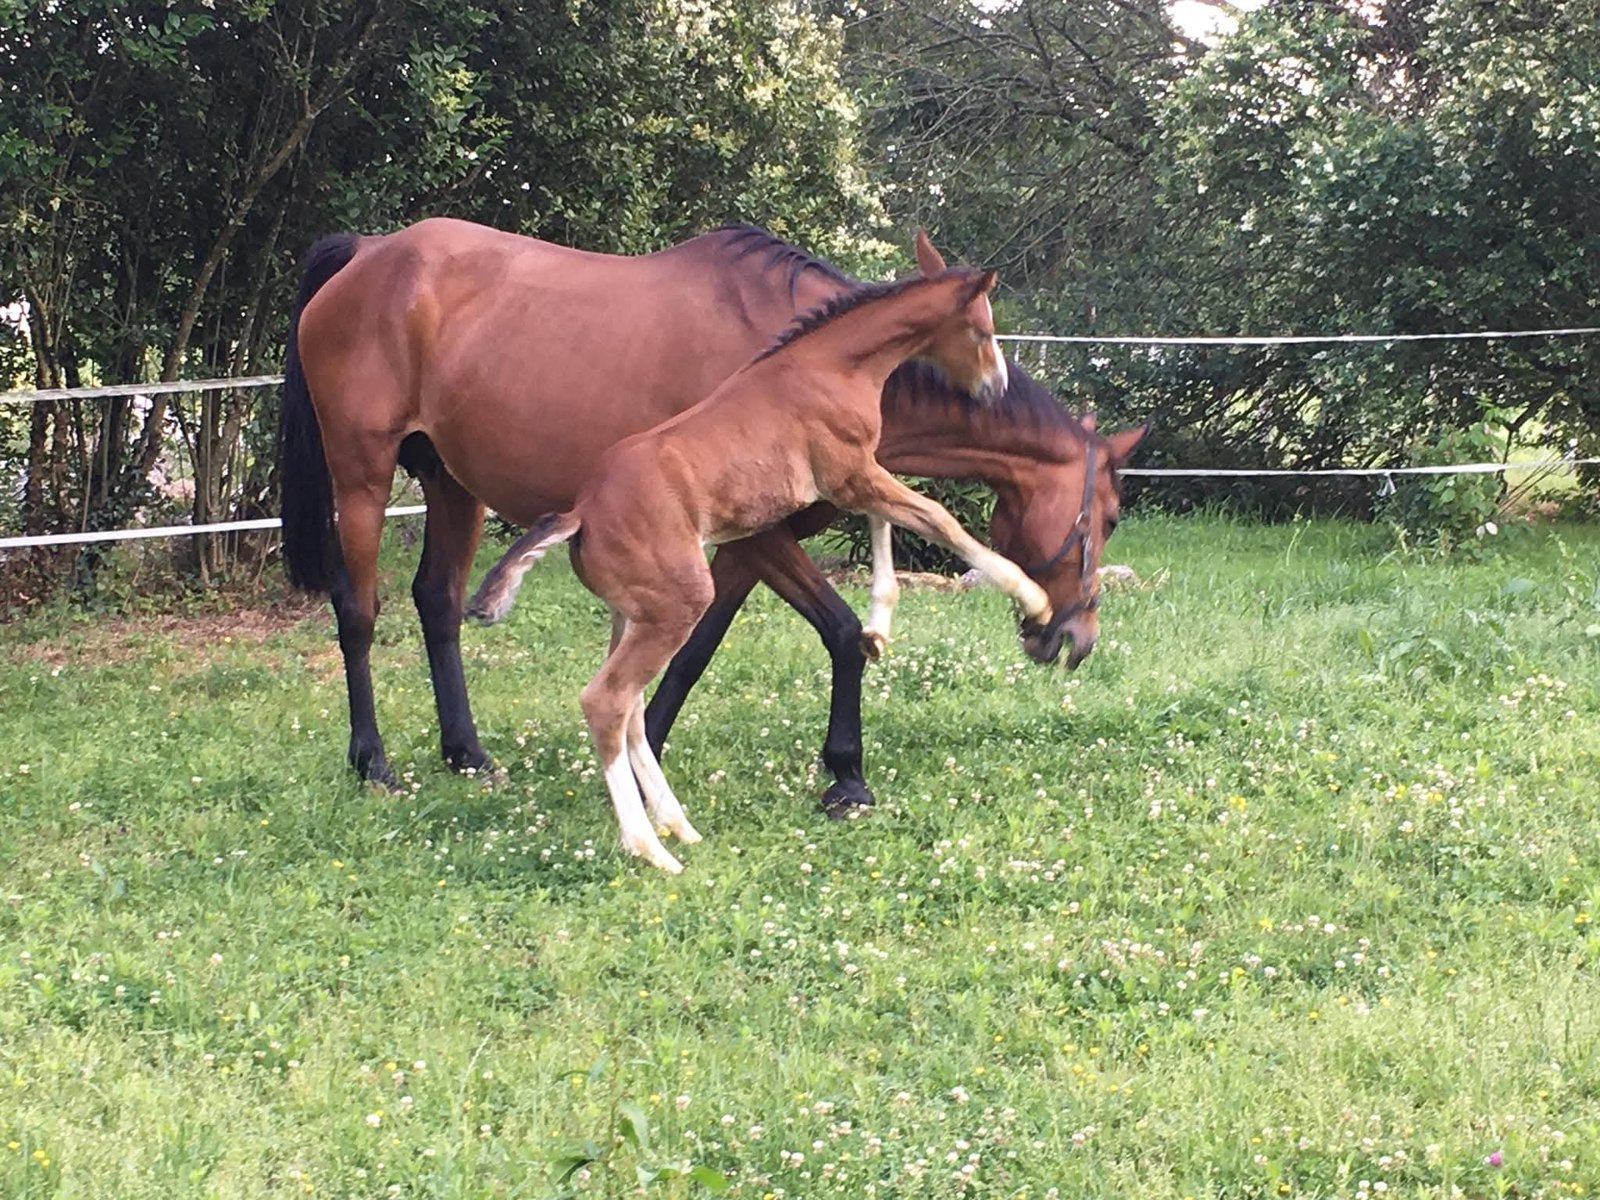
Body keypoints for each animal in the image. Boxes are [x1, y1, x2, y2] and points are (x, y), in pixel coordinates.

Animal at [277, 218, 1146, 809]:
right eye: (1105, 520)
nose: (1075, 640)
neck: (808, 361)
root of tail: (369, 253)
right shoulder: (759, 540)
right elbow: (841, 635)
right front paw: (847, 776)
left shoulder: (736, 546)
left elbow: (694, 651)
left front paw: (649, 751)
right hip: (362, 478)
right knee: (359, 611)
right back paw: (373, 761)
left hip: (455, 484)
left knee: (438, 602)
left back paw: (466, 753)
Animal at [464, 266, 1046, 872]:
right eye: (982, 330)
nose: (996, 386)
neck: (831, 365)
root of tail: (582, 513)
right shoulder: (850, 474)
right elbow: (936, 519)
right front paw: (1034, 598)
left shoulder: (857, 477)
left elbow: (888, 526)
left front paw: (880, 626)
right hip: (677, 605)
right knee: (606, 702)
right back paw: (651, 848)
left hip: (633, 614)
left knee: (630, 711)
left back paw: (678, 825)